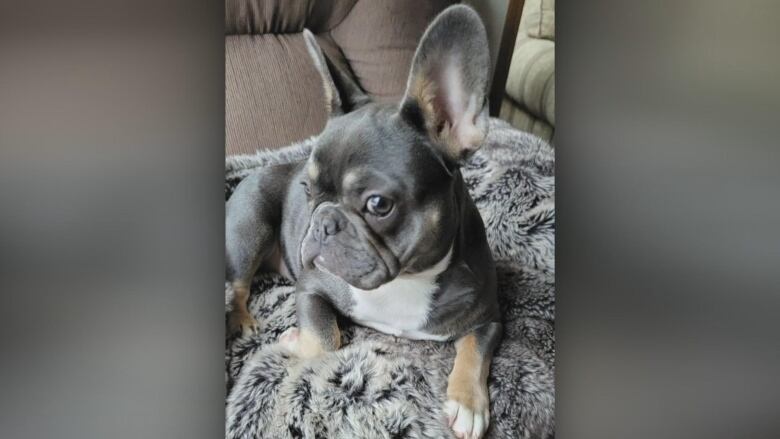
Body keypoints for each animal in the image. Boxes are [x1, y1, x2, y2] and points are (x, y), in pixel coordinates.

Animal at [227, 6, 500, 436]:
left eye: (378, 204)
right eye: (307, 188)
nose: (322, 222)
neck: (405, 281)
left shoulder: (490, 316)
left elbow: (476, 348)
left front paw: (468, 404)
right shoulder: (311, 287)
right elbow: (325, 341)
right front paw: (294, 339)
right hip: (248, 227)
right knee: (237, 284)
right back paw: (240, 321)